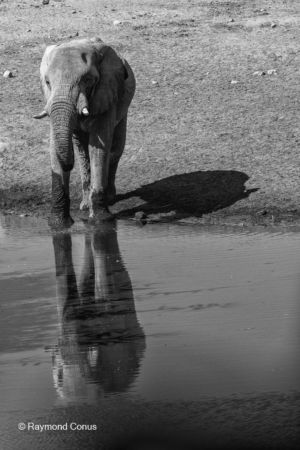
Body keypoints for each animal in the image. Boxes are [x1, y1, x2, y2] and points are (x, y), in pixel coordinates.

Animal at [33, 37, 135, 229]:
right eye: (47, 82)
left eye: (87, 80)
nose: (68, 164)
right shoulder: (50, 100)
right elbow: (54, 146)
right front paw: (58, 224)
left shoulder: (106, 94)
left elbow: (100, 147)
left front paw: (101, 221)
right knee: (82, 152)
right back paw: (85, 205)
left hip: (124, 103)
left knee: (115, 148)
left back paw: (109, 199)